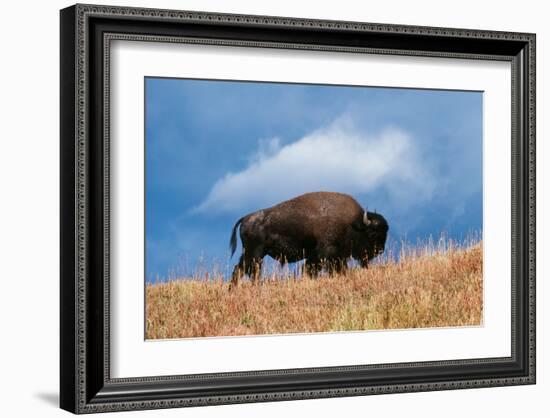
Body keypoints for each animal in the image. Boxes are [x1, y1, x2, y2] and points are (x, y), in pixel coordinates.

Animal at [229, 192, 388, 288]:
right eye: (372, 233)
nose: (380, 251)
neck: (354, 224)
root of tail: (246, 218)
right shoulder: (326, 254)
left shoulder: (324, 256)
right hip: (255, 254)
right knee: (250, 271)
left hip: (250, 254)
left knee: (240, 269)